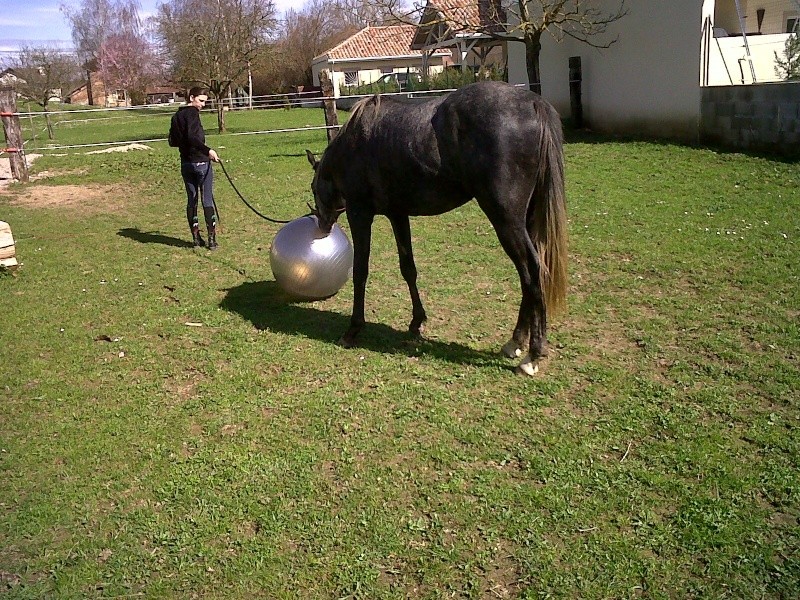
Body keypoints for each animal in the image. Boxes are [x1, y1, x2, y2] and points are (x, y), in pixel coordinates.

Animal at [306, 79, 568, 376]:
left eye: (313, 188)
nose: (322, 225)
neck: (355, 142)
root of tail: (533, 103)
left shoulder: (360, 213)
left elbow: (360, 271)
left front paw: (353, 330)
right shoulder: (398, 214)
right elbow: (408, 269)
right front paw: (416, 322)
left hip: (506, 220)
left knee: (533, 270)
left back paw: (533, 355)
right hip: (524, 219)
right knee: (527, 275)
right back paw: (515, 343)